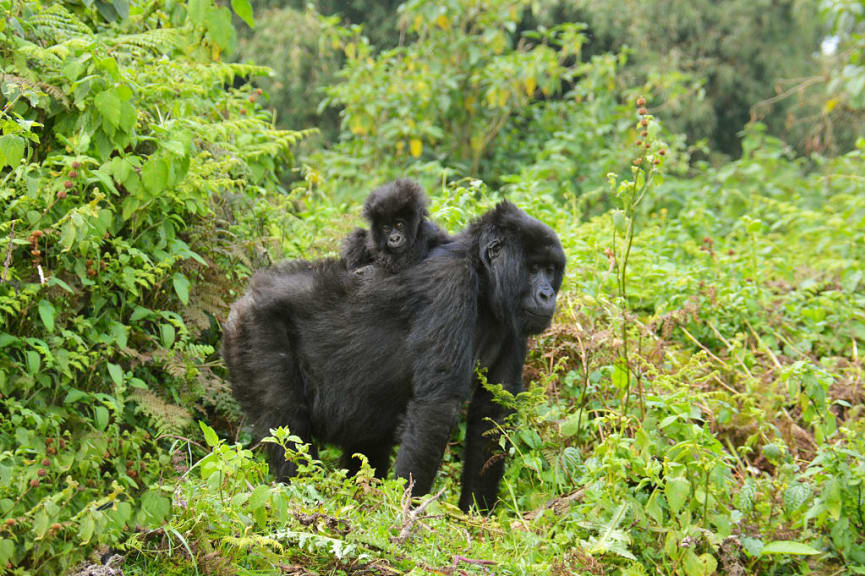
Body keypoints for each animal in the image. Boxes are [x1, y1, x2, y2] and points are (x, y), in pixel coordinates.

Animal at [219, 200, 564, 510]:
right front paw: (408, 516)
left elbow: (491, 414)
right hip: (254, 326)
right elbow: (435, 409)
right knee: (286, 421)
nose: (547, 294)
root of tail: (244, 298)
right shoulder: (452, 283)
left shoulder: (512, 321)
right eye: (533, 268)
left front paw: (476, 514)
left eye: (550, 269)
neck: (482, 276)